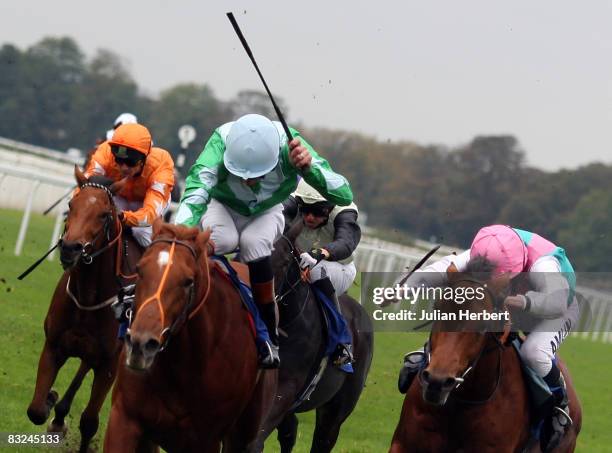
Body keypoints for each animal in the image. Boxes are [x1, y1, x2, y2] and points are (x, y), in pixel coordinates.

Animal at [26, 167, 141, 452]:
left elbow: (89, 422)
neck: (88, 298)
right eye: (71, 205)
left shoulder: (110, 363)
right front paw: (50, 401)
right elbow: (35, 410)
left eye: (104, 214)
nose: (69, 248)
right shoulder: (54, 345)